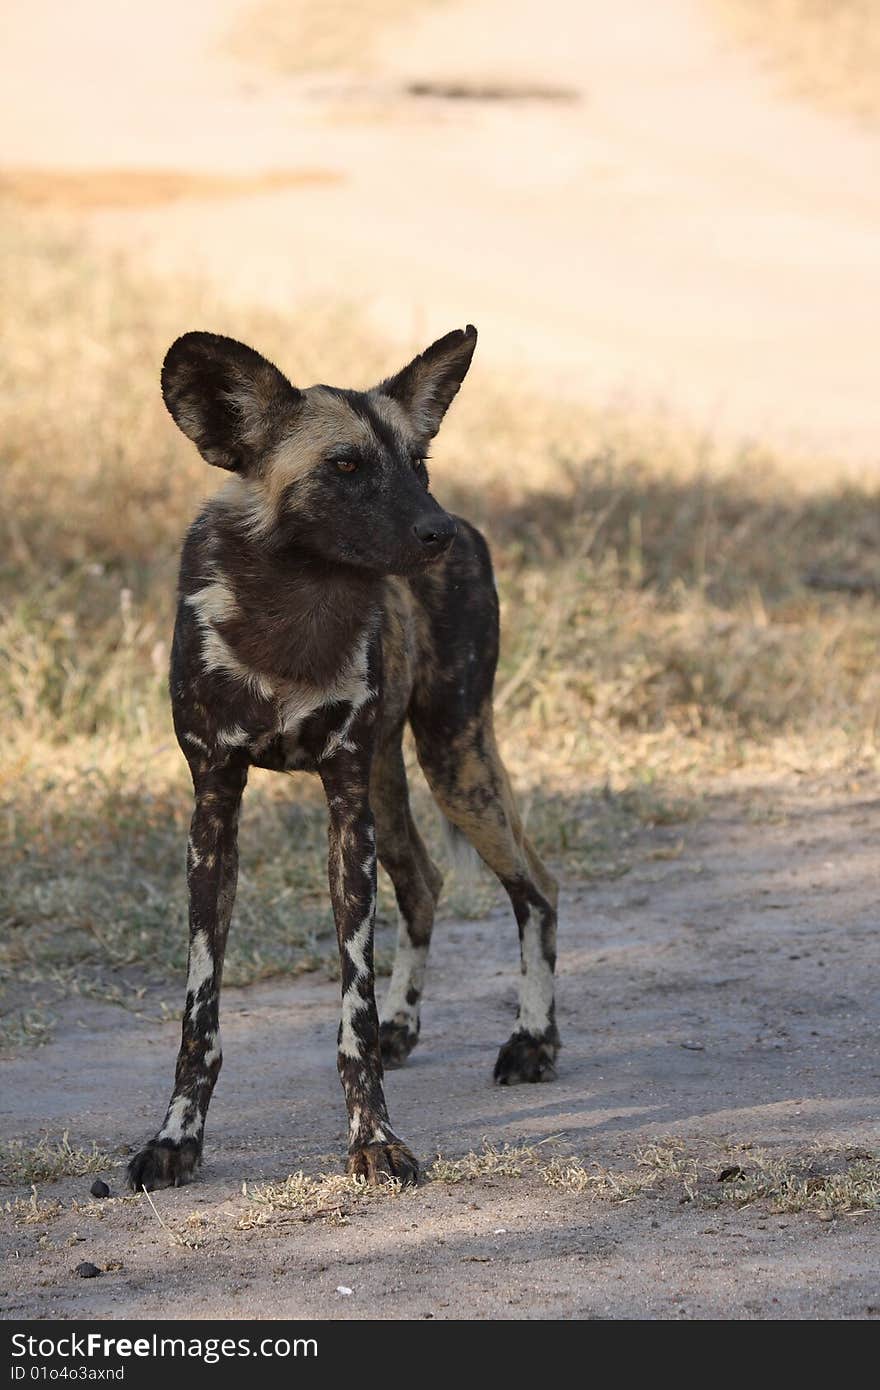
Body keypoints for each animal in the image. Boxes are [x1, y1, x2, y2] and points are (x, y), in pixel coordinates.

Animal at [127, 325, 556, 1195]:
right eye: (348, 466)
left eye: (419, 462)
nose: (436, 533)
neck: (292, 612)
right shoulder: (216, 807)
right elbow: (199, 1017)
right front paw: (176, 1140)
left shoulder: (344, 805)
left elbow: (349, 1013)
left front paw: (375, 1141)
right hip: (399, 785)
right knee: (425, 881)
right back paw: (409, 1022)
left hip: (453, 761)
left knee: (536, 889)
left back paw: (533, 1040)